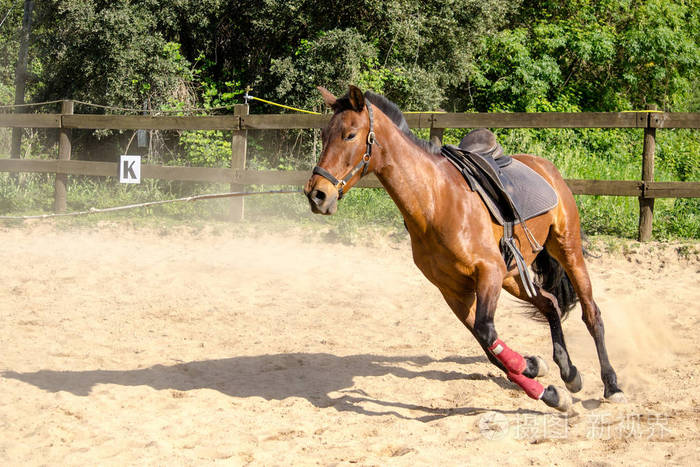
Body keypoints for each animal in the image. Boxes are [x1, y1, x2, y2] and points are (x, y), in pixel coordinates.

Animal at [303, 85, 626, 412]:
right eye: (325, 134)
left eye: (350, 135)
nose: (316, 194)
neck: (436, 202)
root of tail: (546, 167)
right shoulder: (454, 290)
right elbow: (488, 345)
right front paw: (541, 381)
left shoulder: (488, 272)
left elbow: (487, 333)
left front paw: (536, 377)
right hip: (513, 275)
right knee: (549, 303)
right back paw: (568, 372)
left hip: (565, 249)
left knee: (591, 313)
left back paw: (611, 385)